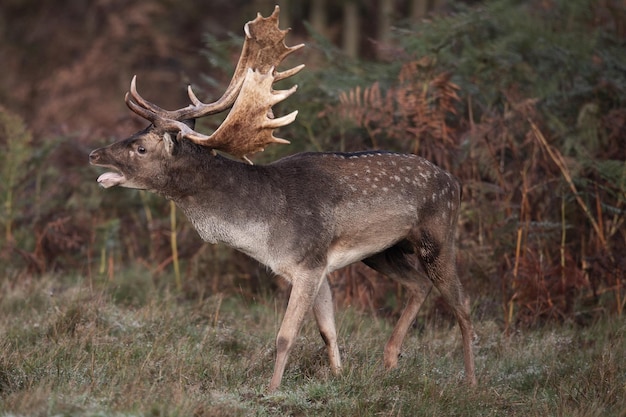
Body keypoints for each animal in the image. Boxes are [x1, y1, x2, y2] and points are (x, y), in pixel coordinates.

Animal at [89, 6, 478, 390]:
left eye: (141, 148)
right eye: (134, 132)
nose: (94, 154)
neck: (263, 231)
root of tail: (456, 182)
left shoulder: (308, 262)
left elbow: (285, 336)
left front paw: (273, 391)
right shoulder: (319, 265)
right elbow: (328, 331)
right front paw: (339, 378)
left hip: (439, 237)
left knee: (462, 303)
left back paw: (471, 382)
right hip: (382, 251)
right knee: (418, 285)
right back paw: (390, 361)